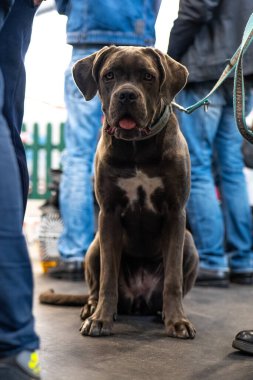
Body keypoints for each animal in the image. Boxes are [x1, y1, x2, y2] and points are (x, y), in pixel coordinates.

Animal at [39, 46, 199, 340]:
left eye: (148, 76)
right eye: (109, 75)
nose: (126, 94)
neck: (137, 146)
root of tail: (138, 300)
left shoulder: (175, 214)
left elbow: (173, 278)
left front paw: (177, 321)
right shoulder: (109, 215)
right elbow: (107, 278)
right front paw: (100, 319)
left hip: (190, 243)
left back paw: (162, 312)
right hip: (94, 246)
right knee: (95, 285)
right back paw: (91, 308)